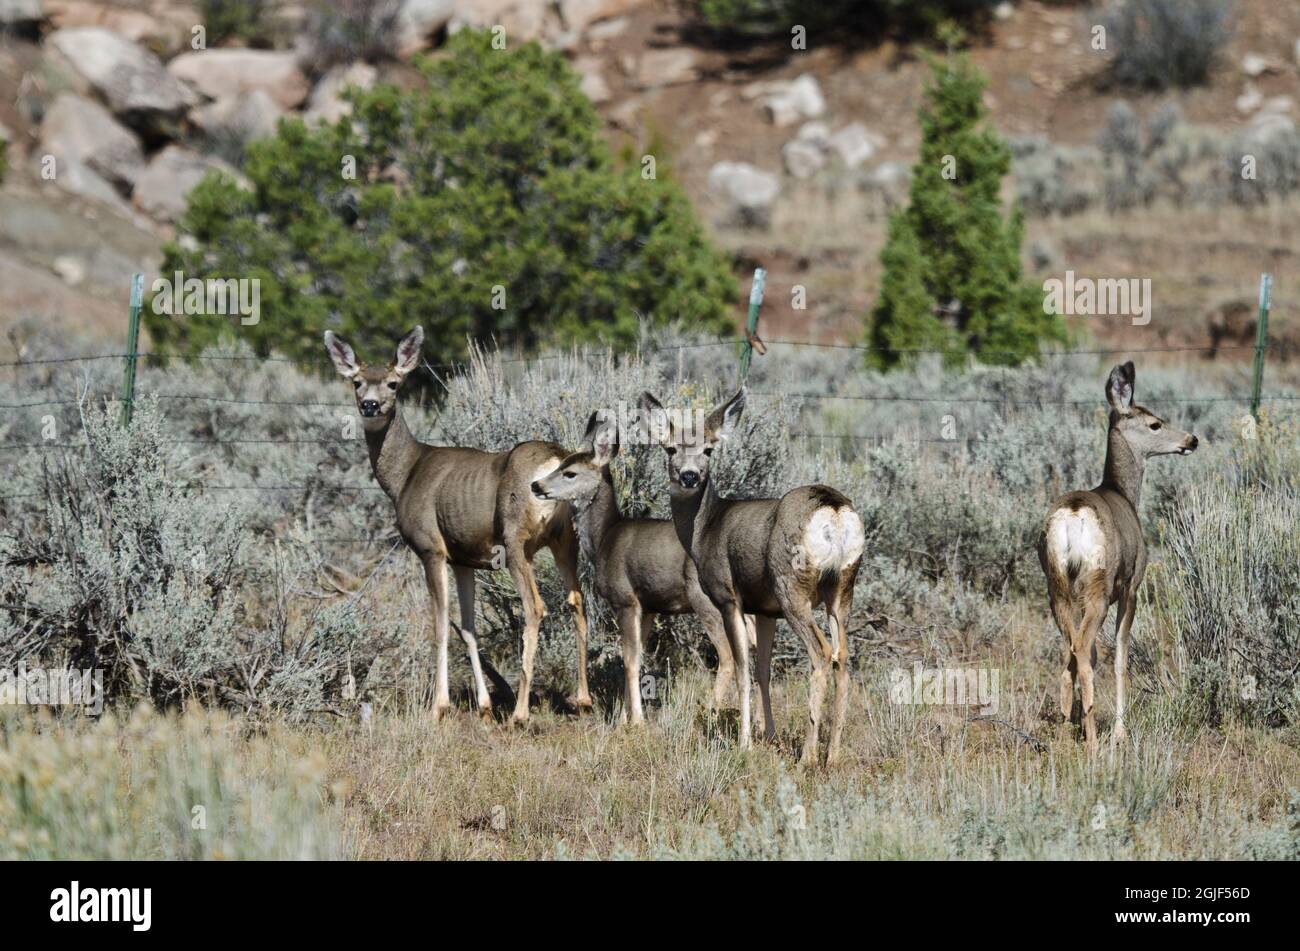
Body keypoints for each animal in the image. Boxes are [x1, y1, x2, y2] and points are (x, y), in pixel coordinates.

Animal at [323, 326, 592, 725]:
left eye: (392, 383)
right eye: (357, 382)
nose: (370, 405)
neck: (406, 474)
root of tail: (558, 461)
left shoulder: (430, 548)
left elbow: (439, 625)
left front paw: (439, 705)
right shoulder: (464, 559)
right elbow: (468, 628)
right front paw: (483, 705)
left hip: (516, 540)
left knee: (535, 607)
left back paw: (520, 712)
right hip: (565, 540)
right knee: (577, 600)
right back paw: (583, 700)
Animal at [530, 408, 753, 724]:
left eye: (569, 472)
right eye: (560, 464)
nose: (536, 485)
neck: (604, 538)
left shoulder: (625, 599)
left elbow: (630, 660)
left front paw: (634, 720)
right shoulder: (648, 606)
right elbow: (636, 657)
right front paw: (625, 716)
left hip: (705, 598)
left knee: (727, 655)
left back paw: (710, 709)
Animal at [639, 388, 865, 767]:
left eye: (708, 449)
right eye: (670, 448)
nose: (689, 476)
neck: (706, 528)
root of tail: (834, 509)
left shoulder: (728, 597)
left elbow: (742, 667)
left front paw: (744, 742)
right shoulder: (764, 609)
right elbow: (763, 669)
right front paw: (768, 735)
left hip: (792, 587)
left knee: (821, 653)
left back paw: (807, 756)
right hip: (843, 588)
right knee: (843, 656)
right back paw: (832, 755)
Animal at [1039, 362, 1198, 755]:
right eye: (1155, 423)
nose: (1191, 440)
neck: (1123, 493)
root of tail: (1073, 514)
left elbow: (1093, 655)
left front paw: (1079, 724)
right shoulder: (1131, 587)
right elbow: (1121, 659)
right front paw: (1120, 732)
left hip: (1057, 587)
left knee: (1069, 651)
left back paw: (1065, 732)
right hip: (1098, 583)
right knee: (1082, 649)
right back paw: (1095, 741)